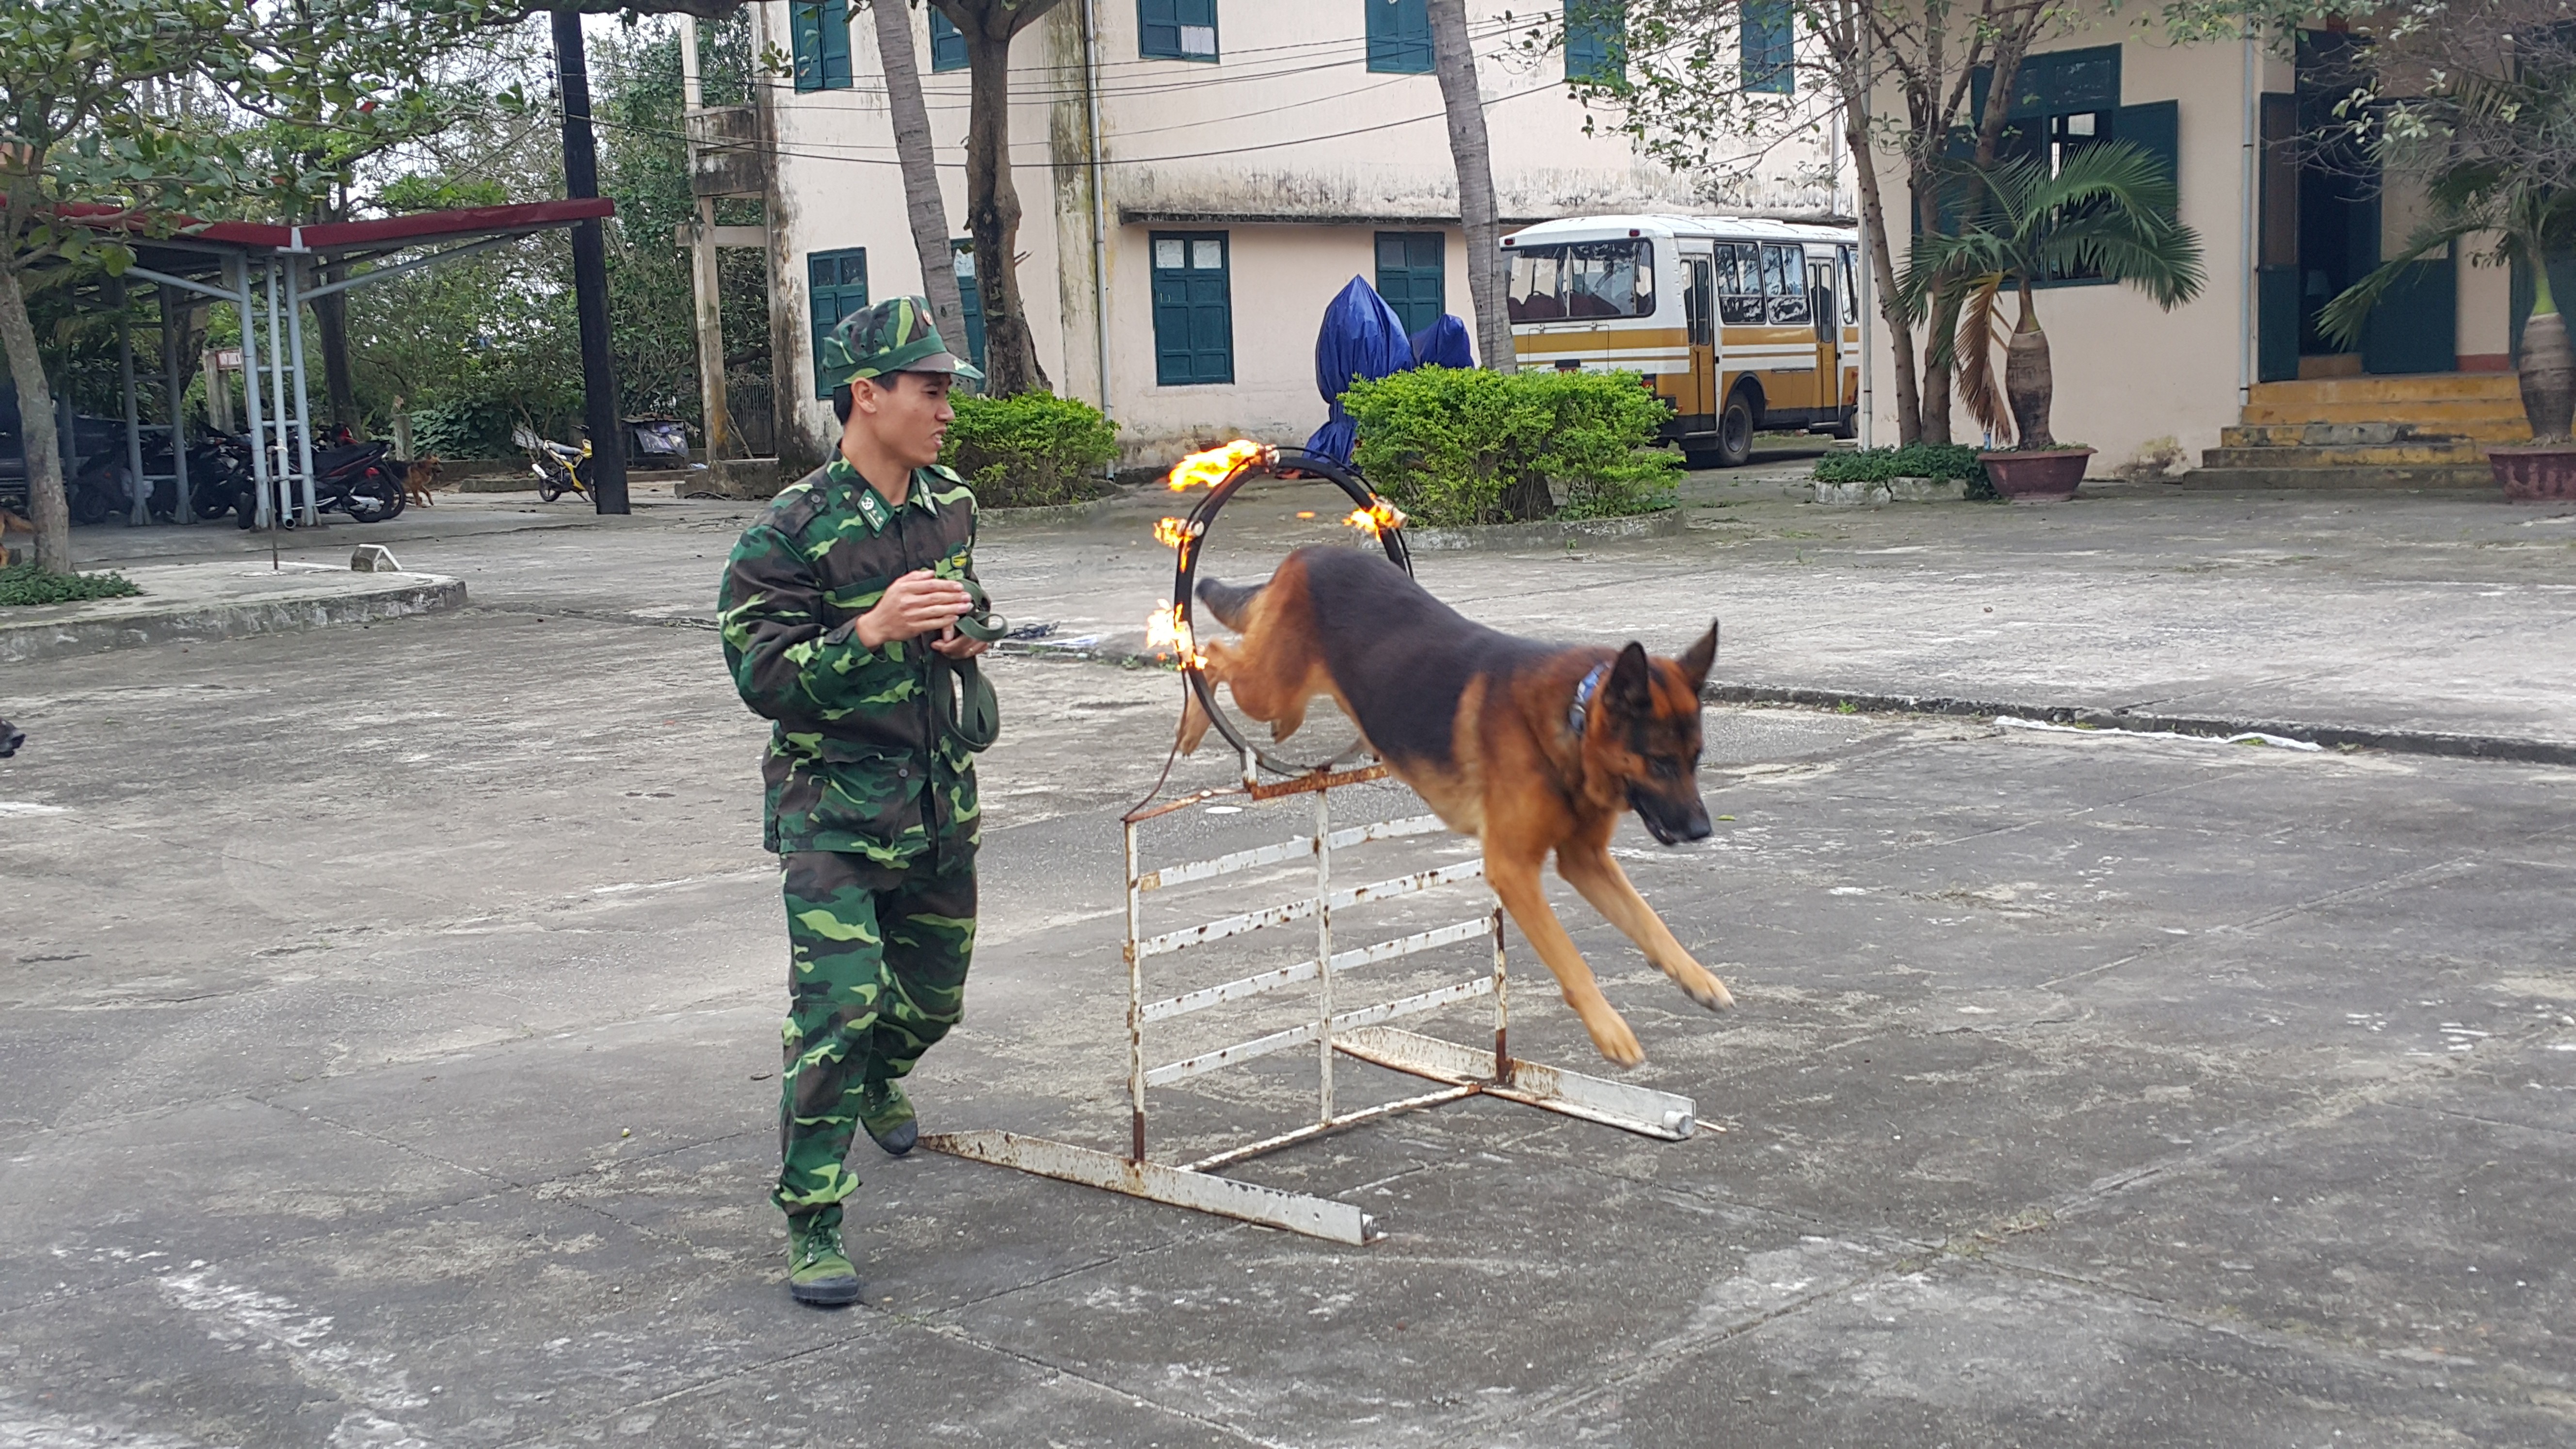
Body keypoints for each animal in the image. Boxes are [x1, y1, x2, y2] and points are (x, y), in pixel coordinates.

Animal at [1185, 541, 1731, 1062]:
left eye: (1695, 759)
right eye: (1660, 763)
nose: (1702, 831)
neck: (1571, 722)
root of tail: (1308, 555)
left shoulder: (1586, 860)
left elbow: (1649, 922)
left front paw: (1697, 978)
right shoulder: (1513, 870)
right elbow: (1570, 958)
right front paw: (1610, 1031)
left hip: (1283, 688)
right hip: (1266, 687)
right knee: (1212, 654)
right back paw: (1192, 721)